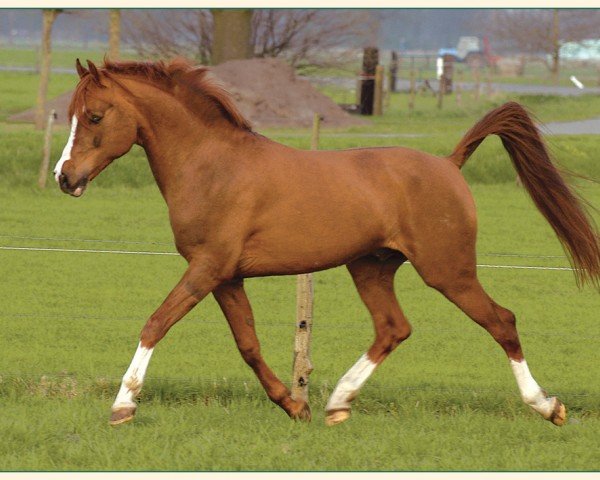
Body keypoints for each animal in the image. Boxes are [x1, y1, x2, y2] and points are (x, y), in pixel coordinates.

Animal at [54, 58, 596, 426]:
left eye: (95, 117)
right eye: (71, 116)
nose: (64, 177)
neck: (212, 167)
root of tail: (449, 163)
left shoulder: (207, 268)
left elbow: (156, 323)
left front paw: (123, 406)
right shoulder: (226, 277)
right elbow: (248, 345)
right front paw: (294, 405)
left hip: (448, 271)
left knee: (501, 321)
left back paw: (548, 406)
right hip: (371, 266)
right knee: (393, 328)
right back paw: (338, 402)